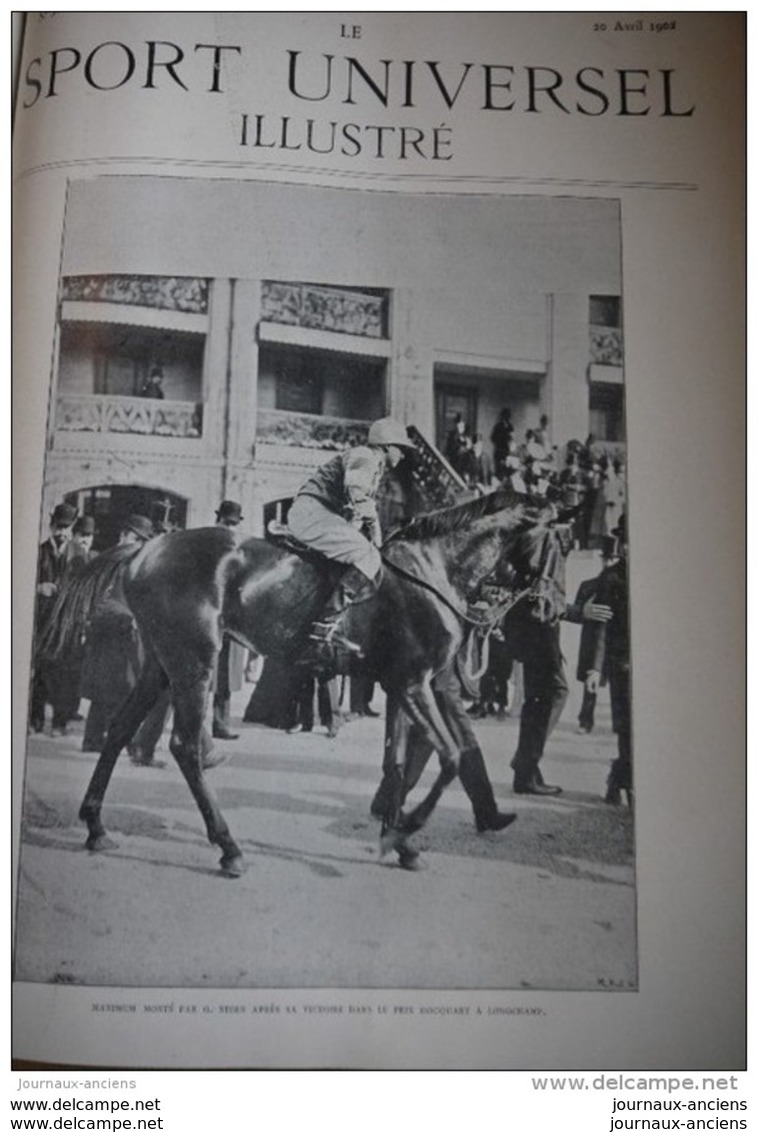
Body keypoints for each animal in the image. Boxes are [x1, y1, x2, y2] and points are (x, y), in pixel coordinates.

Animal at [38, 486, 567, 873]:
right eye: (558, 542)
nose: (553, 608)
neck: (429, 572)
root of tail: (145, 548)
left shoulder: (400, 687)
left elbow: (398, 764)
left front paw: (398, 838)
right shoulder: (416, 684)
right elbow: (452, 757)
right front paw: (406, 829)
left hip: (161, 666)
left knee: (120, 730)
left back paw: (96, 826)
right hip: (195, 662)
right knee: (184, 746)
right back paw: (228, 847)